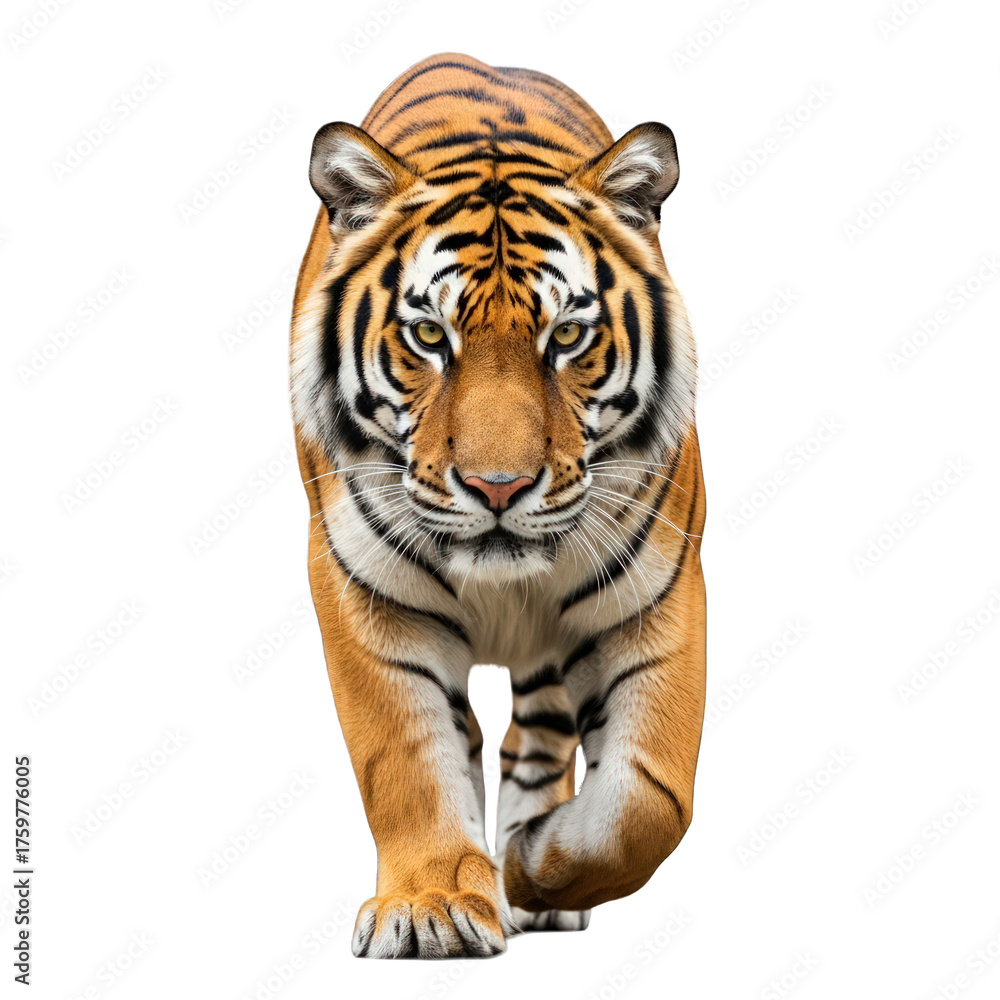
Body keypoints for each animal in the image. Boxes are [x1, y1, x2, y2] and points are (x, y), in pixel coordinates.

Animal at [289, 52, 706, 959]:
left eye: (568, 338)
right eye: (428, 338)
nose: (499, 488)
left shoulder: (657, 594)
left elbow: (648, 802)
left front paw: (530, 863)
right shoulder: (365, 596)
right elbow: (407, 757)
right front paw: (433, 906)